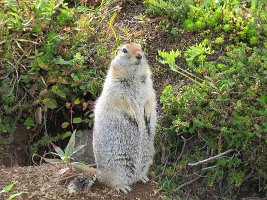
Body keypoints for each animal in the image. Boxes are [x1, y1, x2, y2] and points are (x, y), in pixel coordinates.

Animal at [68, 43, 158, 194]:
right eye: (124, 50)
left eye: (140, 47)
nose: (140, 56)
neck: (134, 77)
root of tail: (99, 173)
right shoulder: (115, 89)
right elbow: (122, 102)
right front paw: (134, 116)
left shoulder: (149, 87)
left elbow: (150, 99)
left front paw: (147, 115)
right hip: (117, 167)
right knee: (111, 182)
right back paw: (123, 187)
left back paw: (143, 178)